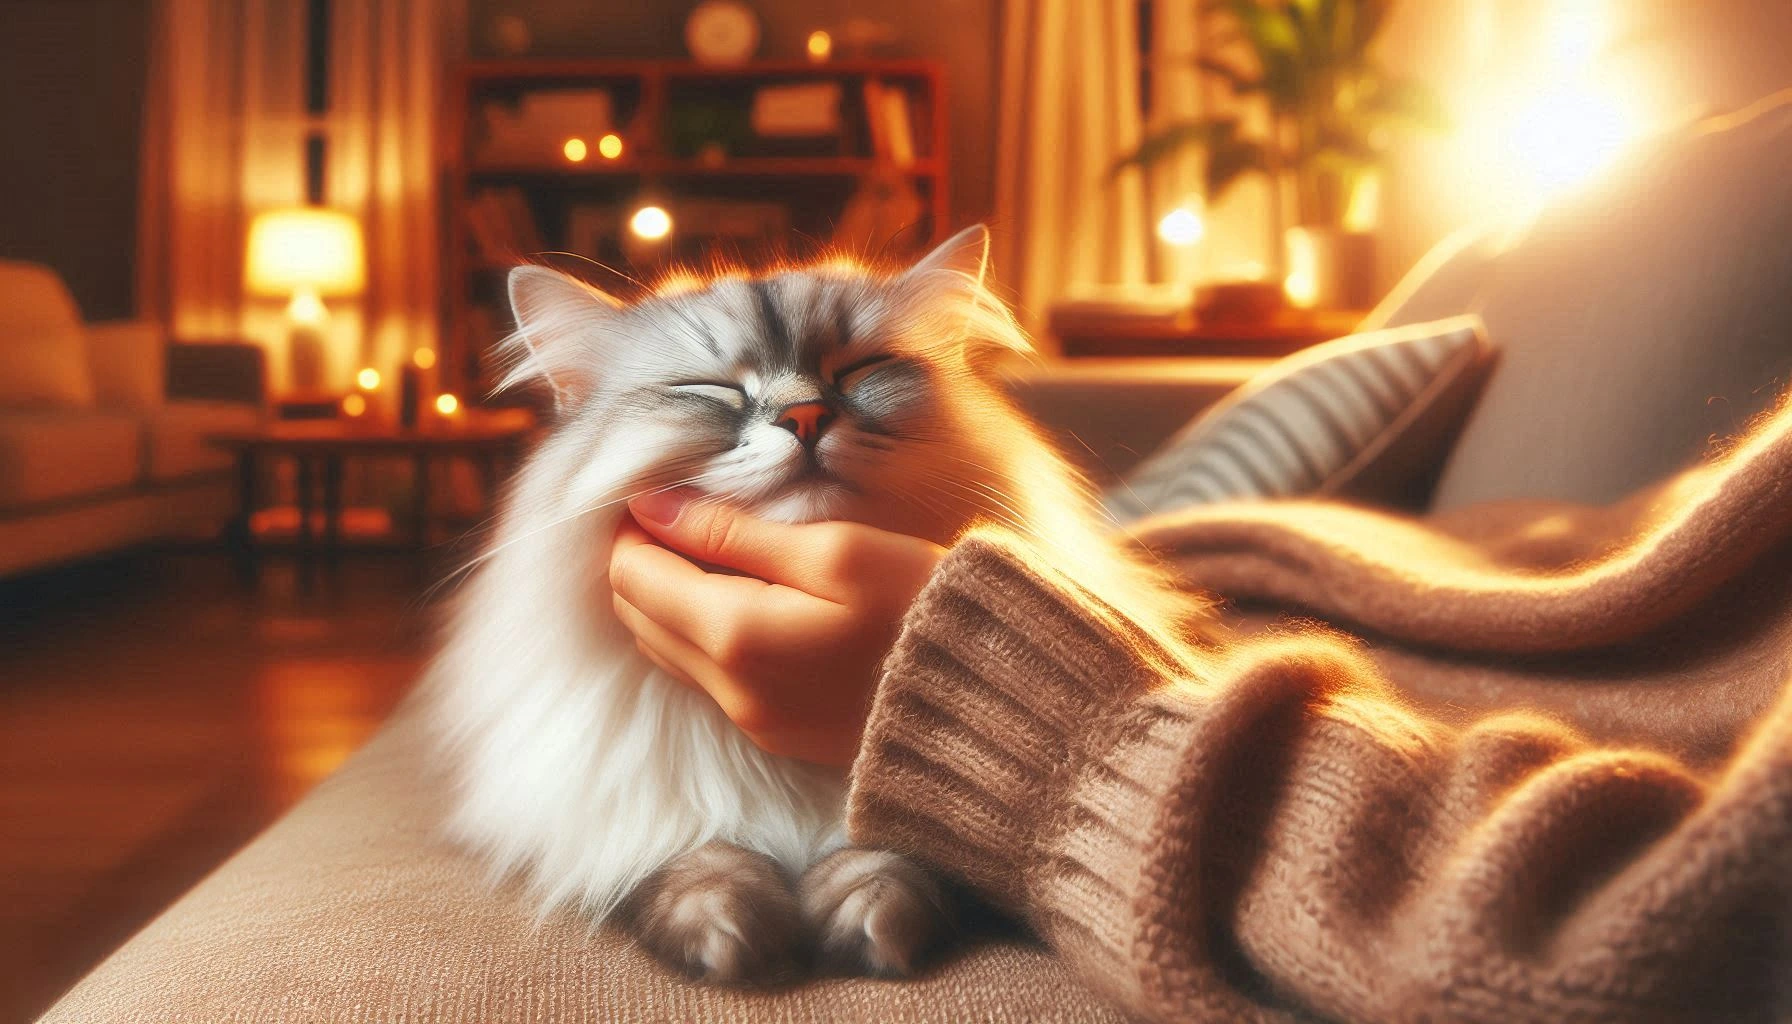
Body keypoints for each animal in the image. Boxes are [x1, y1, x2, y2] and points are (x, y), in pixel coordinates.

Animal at [426, 225, 1211, 982]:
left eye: (858, 371)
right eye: (713, 389)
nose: (805, 416)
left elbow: (889, 856)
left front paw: (868, 924)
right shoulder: (634, 808)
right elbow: (696, 858)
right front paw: (732, 939)